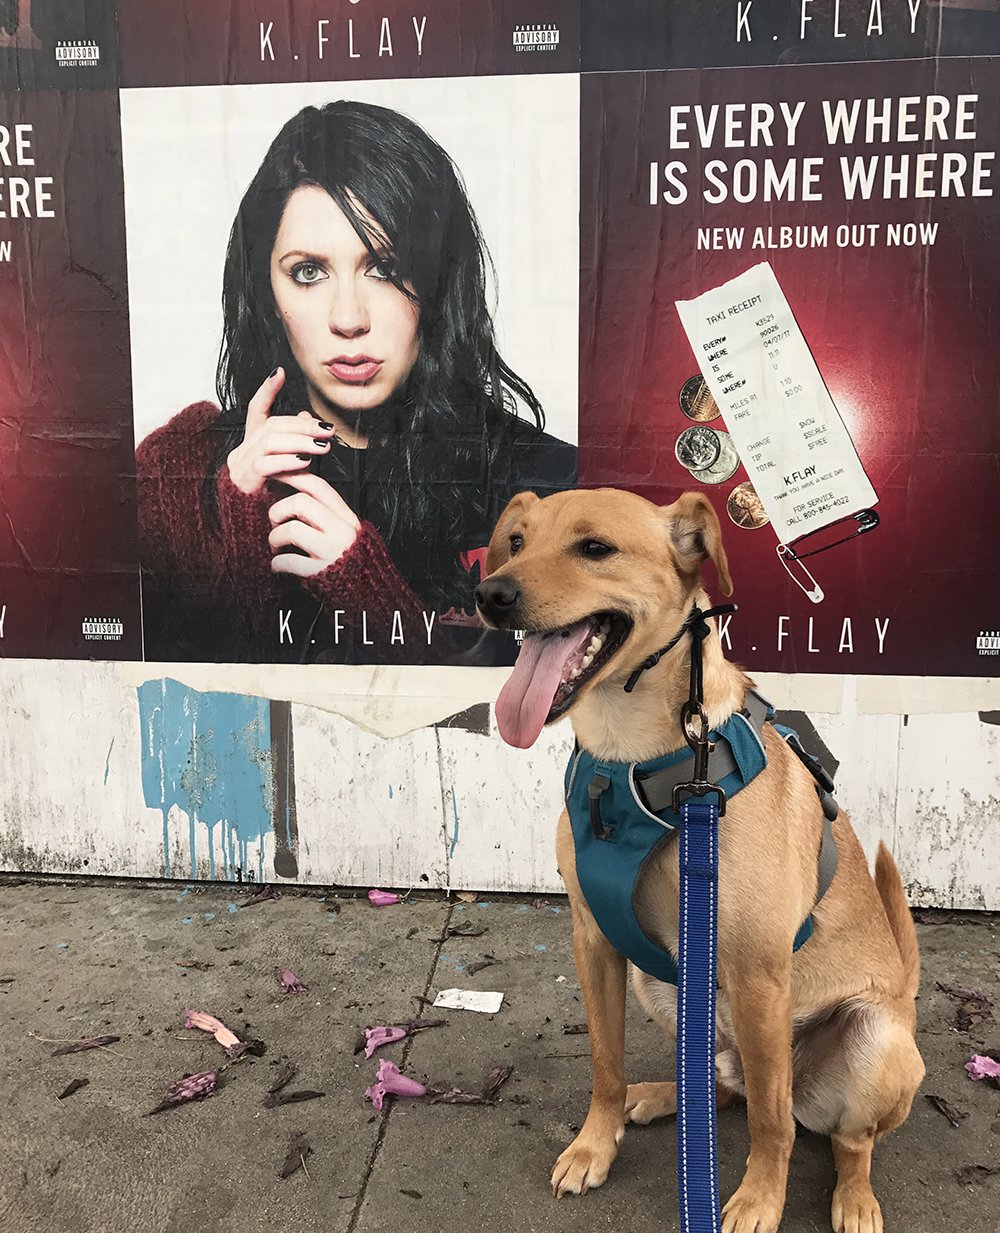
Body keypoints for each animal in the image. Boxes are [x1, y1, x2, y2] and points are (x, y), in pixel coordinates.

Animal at [475, 485, 922, 1233]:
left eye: (594, 548)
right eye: (514, 541)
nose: (490, 594)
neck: (629, 763)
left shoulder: (758, 970)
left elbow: (774, 1123)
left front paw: (758, 1198)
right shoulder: (595, 940)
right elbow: (605, 1062)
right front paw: (594, 1146)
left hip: (872, 1042)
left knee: (835, 1132)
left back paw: (855, 1198)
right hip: (663, 987)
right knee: (723, 1087)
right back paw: (661, 1095)